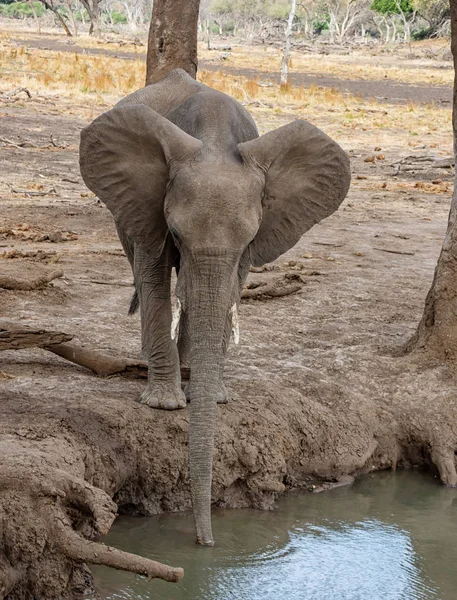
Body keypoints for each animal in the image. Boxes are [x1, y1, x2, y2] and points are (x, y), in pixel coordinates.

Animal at [78, 67, 350, 548]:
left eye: (248, 240)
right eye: (176, 234)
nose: (206, 544)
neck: (215, 139)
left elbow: (230, 290)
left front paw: (215, 396)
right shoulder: (148, 204)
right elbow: (154, 275)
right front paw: (166, 405)